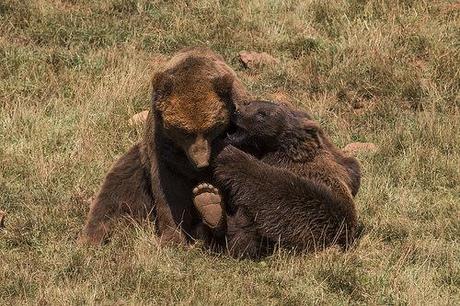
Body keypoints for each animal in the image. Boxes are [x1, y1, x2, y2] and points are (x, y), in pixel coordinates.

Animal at [79, 46, 252, 245]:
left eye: (211, 128)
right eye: (184, 131)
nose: (201, 162)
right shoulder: (162, 146)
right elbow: (168, 189)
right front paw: (173, 237)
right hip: (138, 169)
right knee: (117, 190)